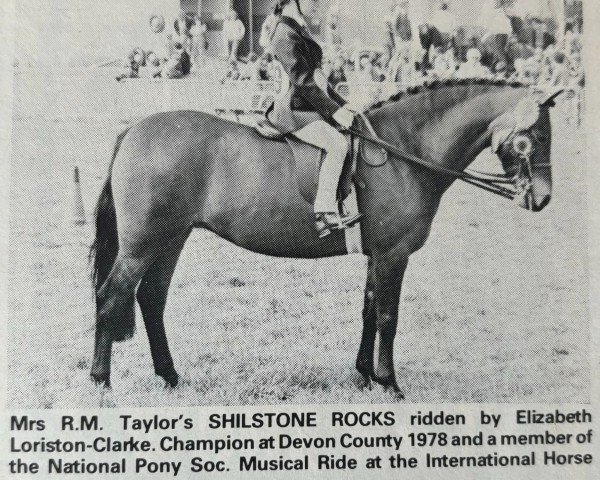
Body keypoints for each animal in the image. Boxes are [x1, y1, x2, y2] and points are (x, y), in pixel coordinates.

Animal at [90, 79, 556, 398]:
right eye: (537, 137)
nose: (544, 198)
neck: (403, 151)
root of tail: (133, 131)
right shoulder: (394, 255)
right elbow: (388, 316)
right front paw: (390, 384)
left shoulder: (377, 255)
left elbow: (369, 310)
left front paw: (364, 376)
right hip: (143, 244)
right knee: (112, 296)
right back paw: (101, 381)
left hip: (171, 239)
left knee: (151, 298)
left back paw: (170, 376)